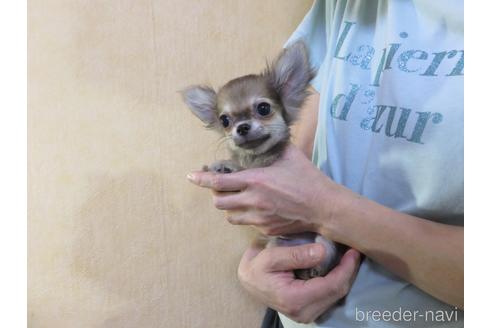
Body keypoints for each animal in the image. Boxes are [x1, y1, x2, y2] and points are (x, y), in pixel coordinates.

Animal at [180, 39, 342, 278]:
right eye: (225, 120)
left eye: (263, 108)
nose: (242, 127)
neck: (254, 158)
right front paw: (222, 165)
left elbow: (244, 169)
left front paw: (226, 165)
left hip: (325, 238)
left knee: (326, 253)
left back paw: (316, 267)